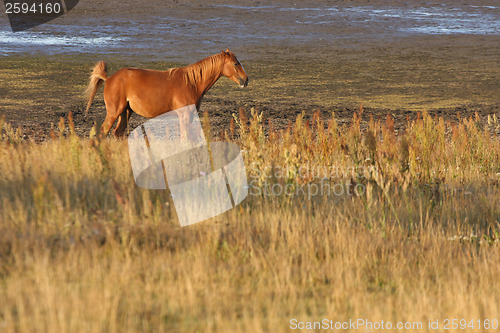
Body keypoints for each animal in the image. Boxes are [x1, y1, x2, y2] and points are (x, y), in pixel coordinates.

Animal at [86, 48, 252, 136]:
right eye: (235, 63)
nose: (246, 80)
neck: (191, 83)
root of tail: (109, 78)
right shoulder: (184, 115)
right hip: (114, 112)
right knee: (103, 132)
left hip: (125, 112)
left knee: (117, 133)